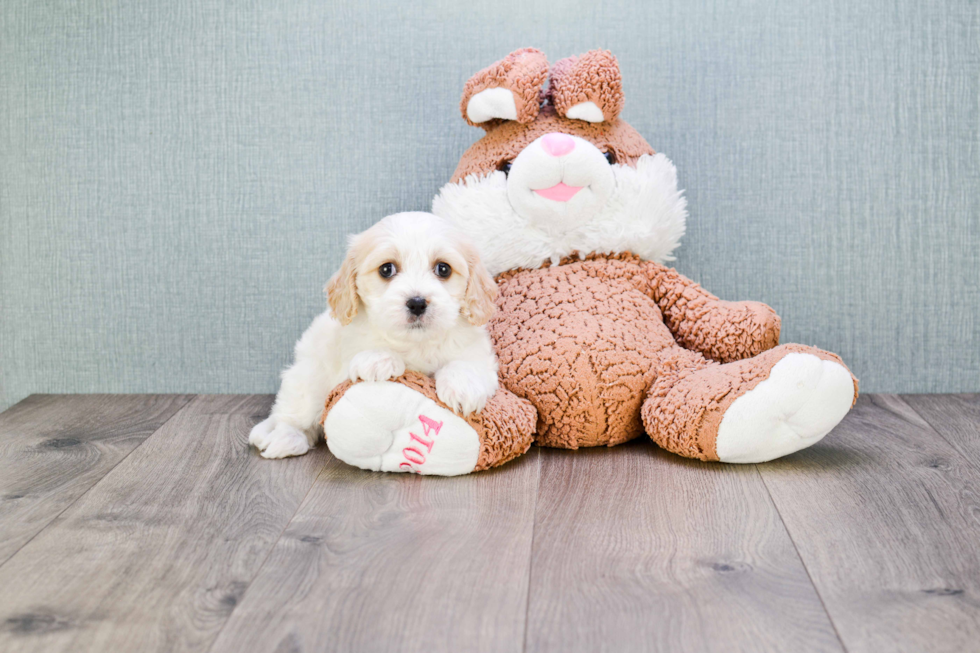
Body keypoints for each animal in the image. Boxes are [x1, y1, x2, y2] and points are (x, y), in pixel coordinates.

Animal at [249, 211, 502, 456]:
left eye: (443, 269)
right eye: (386, 269)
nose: (417, 303)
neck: (416, 343)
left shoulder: (479, 356)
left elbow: (466, 364)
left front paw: (462, 387)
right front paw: (378, 360)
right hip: (308, 379)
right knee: (291, 416)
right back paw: (285, 439)